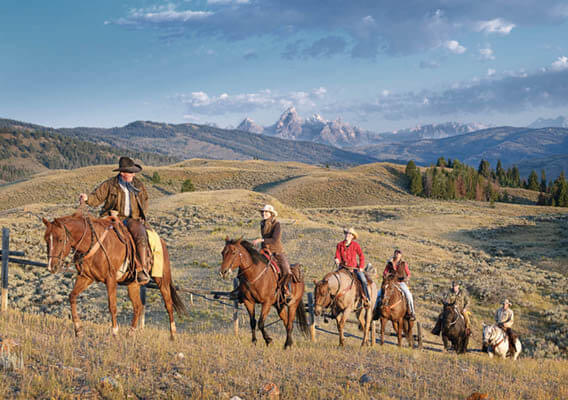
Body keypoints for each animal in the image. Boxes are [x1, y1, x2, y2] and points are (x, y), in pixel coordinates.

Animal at [43, 211, 189, 340]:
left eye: (60, 239)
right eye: (46, 240)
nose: (51, 267)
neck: (93, 243)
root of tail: (161, 242)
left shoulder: (110, 279)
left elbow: (112, 306)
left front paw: (114, 332)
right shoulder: (86, 277)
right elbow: (72, 296)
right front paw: (78, 330)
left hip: (162, 280)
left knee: (168, 304)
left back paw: (173, 334)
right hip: (133, 284)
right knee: (138, 306)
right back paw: (131, 333)